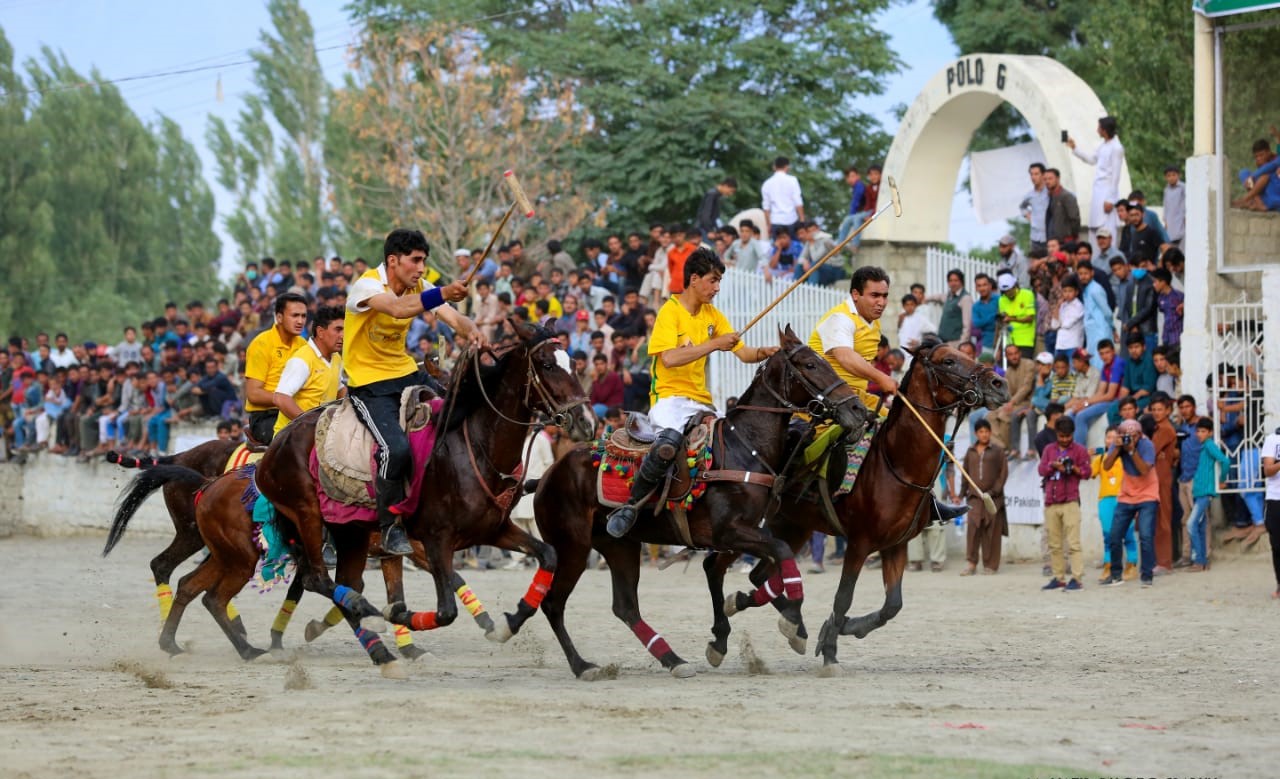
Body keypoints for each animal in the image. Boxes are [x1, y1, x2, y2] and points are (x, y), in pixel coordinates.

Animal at [245, 321, 593, 675]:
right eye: (547, 365)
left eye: (574, 364)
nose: (585, 420)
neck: (473, 446)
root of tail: (275, 446)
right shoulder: (434, 540)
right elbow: (444, 610)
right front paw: (398, 619)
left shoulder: (493, 530)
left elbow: (548, 554)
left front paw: (510, 623)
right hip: (308, 515)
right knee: (318, 578)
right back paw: (368, 616)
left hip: (351, 532)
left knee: (343, 581)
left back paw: (379, 650)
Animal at [524, 324, 875, 675]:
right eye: (811, 364)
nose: (858, 410)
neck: (745, 447)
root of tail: (547, 475)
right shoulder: (729, 532)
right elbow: (780, 554)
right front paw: (790, 623)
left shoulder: (744, 533)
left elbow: (762, 564)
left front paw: (759, 626)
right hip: (572, 545)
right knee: (554, 603)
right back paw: (582, 665)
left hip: (619, 545)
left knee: (625, 607)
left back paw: (673, 659)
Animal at [701, 337, 1008, 675]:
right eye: (949, 361)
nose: (999, 383)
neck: (896, 462)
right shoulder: (860, 542)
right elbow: (843, 598)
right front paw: (830, 652)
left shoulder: (895, 545)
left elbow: (892, 606)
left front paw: (836, 630)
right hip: (743, 527)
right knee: (716, 566)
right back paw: (727, 637)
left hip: (792, 528)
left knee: (758, 575)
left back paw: (791, 626)